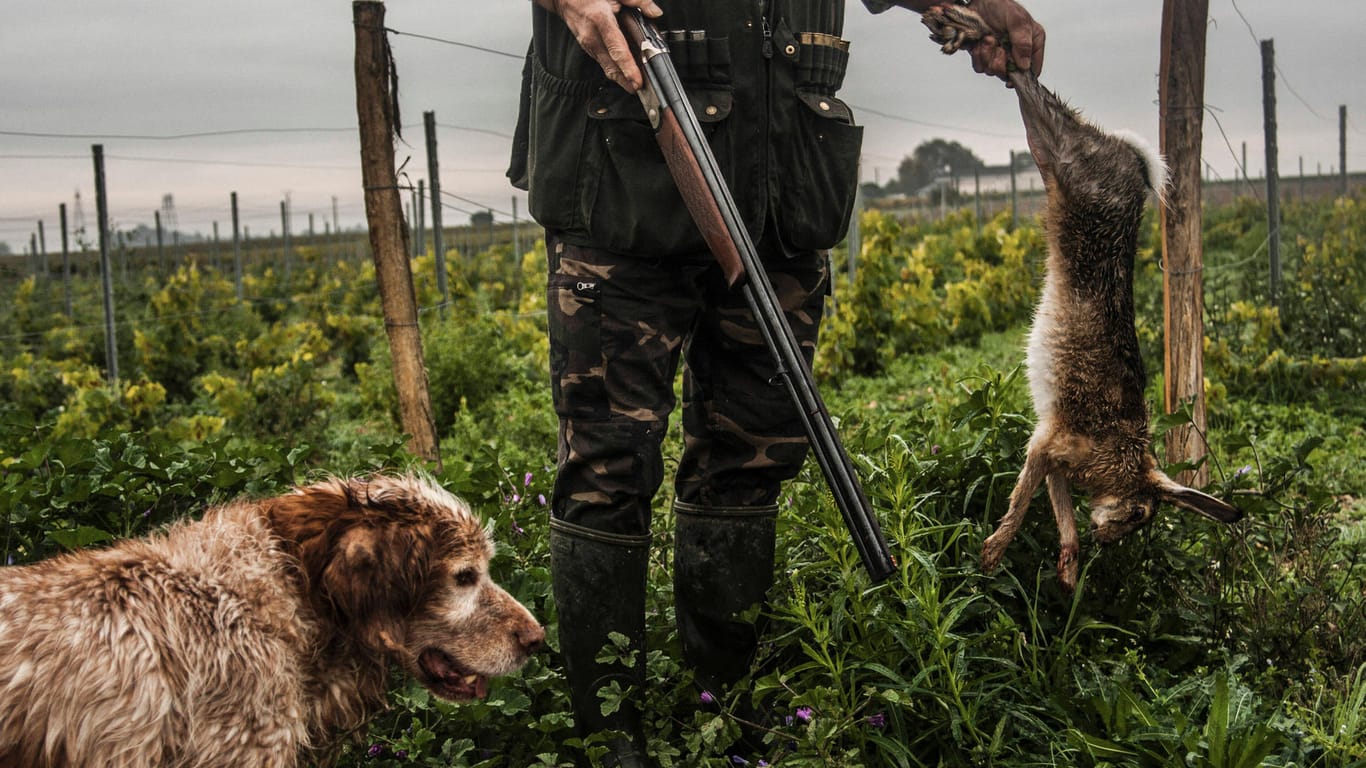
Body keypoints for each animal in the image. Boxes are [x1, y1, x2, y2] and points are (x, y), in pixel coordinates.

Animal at [923, 5, 1245, 587]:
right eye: (1138, 512)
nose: (1109, 537)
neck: (1124, 457)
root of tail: (1133, 161)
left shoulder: (1054, 457)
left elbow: (1059, 509)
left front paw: (1069, 571)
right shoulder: (1049, 444)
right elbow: (1022, 497)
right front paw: (993, 553)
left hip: (1051, 161)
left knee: (1022, 88)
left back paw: (965, 32)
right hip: (1070, 157)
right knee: (1029, 85)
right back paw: (961, 27)